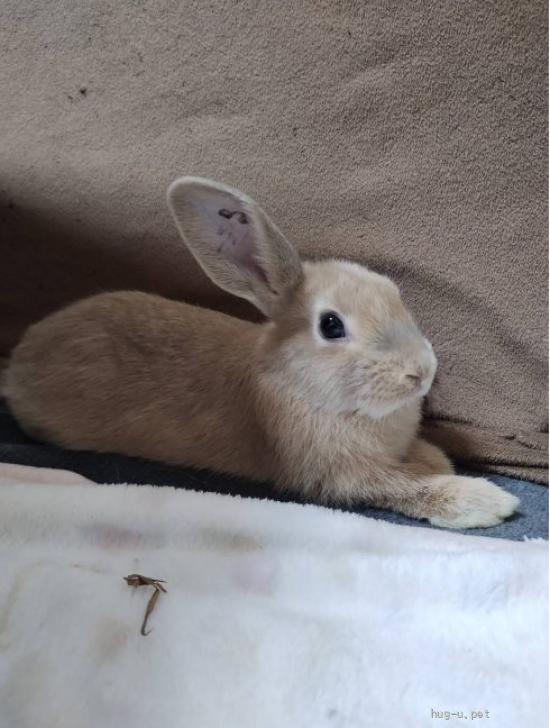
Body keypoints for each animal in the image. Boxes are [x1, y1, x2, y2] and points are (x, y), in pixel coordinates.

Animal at [4, 176, 518, 529]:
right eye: (331, 326)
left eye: (394, 293)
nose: (421, 372)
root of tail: (18, 362)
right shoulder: (339, 476)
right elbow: (403, 487)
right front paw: (485, 502)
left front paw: (436, 458)